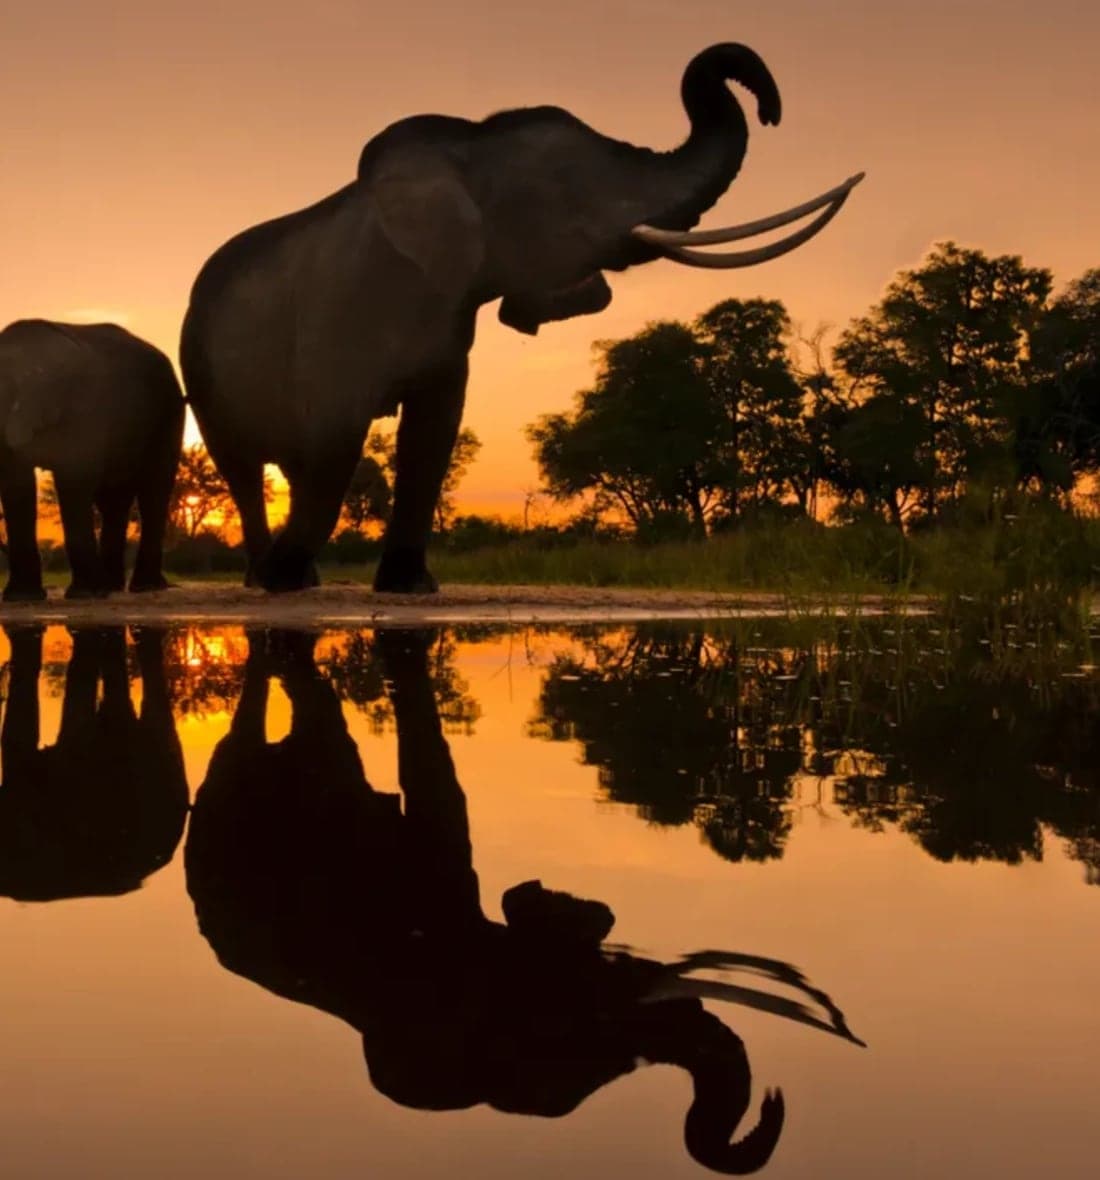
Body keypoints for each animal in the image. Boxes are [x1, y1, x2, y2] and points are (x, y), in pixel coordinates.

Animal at [0, 319, 184, 600]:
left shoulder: (82, 411)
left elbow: (73, 480)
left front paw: (85, 594)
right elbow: (16, 487)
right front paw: (22, 597)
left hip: (169, 411)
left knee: (154, 491)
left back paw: (143, 587)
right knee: (113, 501)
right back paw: (111, 586)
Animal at [180, 43, 864, 593]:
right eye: (571, 194)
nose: (772, 110)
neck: (462, 154)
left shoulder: (448, 322)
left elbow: (433, 431)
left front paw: (411, 589)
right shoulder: (342, 308)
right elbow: (340, 433)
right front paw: (285, 581)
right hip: (201, 368)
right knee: (243, 465)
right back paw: (268, 577)